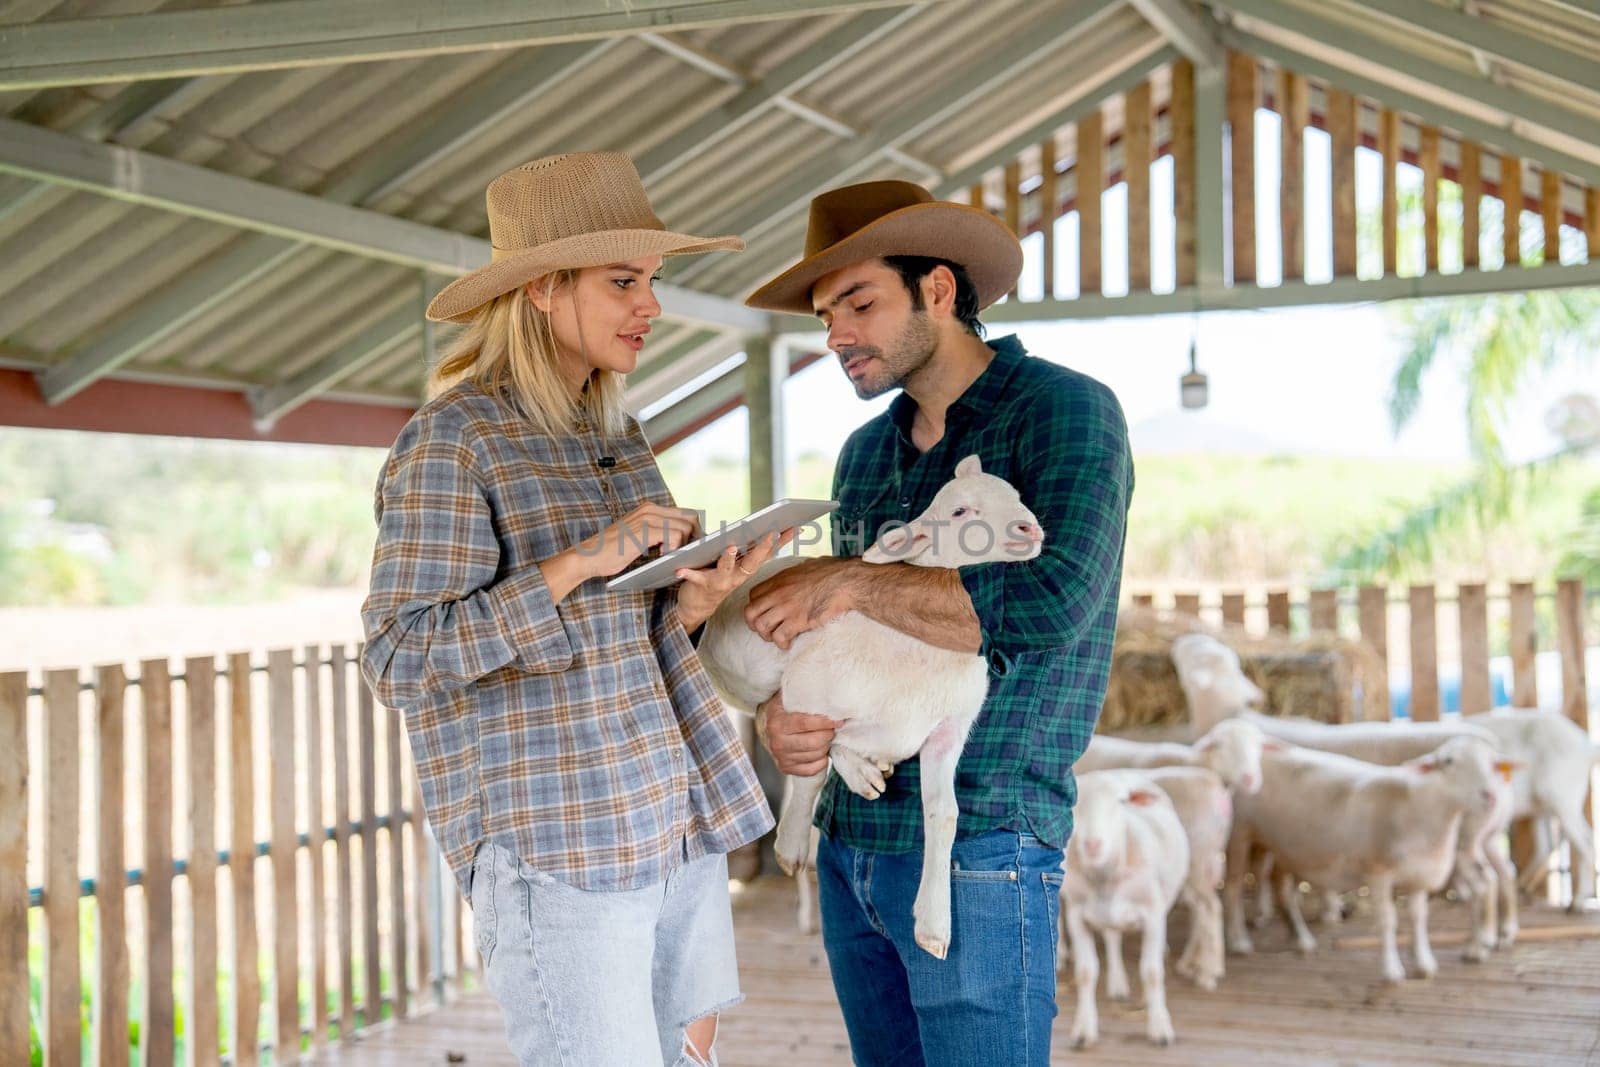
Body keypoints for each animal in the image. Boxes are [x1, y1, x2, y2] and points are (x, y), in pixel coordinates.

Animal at [697, 454, 1043, 959]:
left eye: (1016, 494)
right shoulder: (804, 695)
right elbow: (815, 764)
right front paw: (799, 836)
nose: (1029, 528)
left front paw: (934, 922)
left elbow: (944, 815)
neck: (914, 649)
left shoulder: (947, 732)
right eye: (960, 512)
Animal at [1062, 771, 1190, 1049]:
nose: (1093, 844)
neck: (1105, 876)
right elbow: (1086, 972)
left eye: (1120, 802)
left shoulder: (1153, 915)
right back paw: (1118, 983)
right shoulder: (1077, 916)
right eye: (1075, 804)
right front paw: (1084, 1030)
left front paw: (1160, 1028)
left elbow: (1151, 972)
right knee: (1112, 936)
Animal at [1222, 735, 1510, 985]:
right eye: (1448, 761)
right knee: (1233, 887)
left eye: (1492, 763)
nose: (1490, 795)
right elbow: (1388, 920)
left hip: (1281, 845)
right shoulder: (1378, 873)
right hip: (1239, 833)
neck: (1421, 810)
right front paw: (1392, 970)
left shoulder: (1418, 878)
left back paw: (1301, 939)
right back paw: (1239, 941)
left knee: (1281, 889)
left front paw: (1424, 964)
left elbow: (1419, 919)